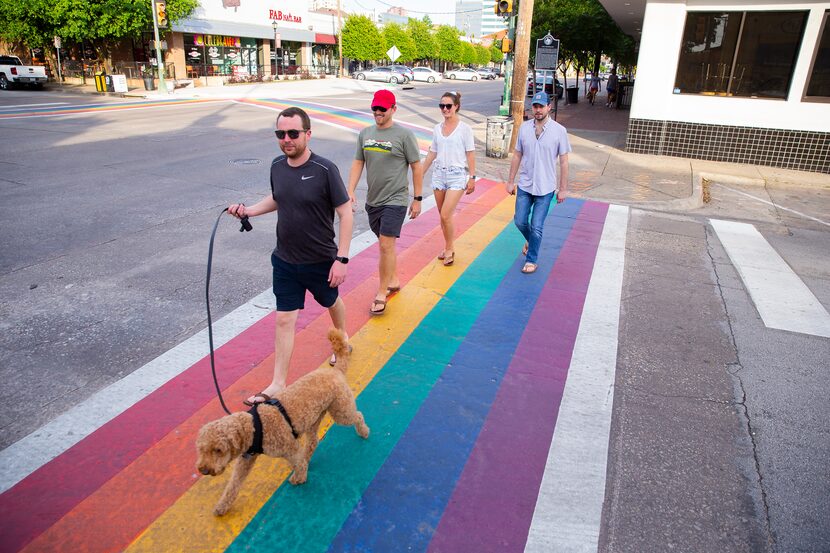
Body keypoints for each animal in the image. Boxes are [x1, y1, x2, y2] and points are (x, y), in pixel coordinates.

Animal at [196, 328, 370, 512]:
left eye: (218, 450)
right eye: (201, 450)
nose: (204, 470)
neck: (255, 427)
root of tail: (335, 371)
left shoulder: (289, 447)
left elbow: (299, 464)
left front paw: (298, 478)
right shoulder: (246, 460)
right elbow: (233, 485)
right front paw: (222, 506)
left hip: (340, 411)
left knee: (357, 416)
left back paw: (364, 431)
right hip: (313, 418)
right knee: (313, 441)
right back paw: (308, 456)